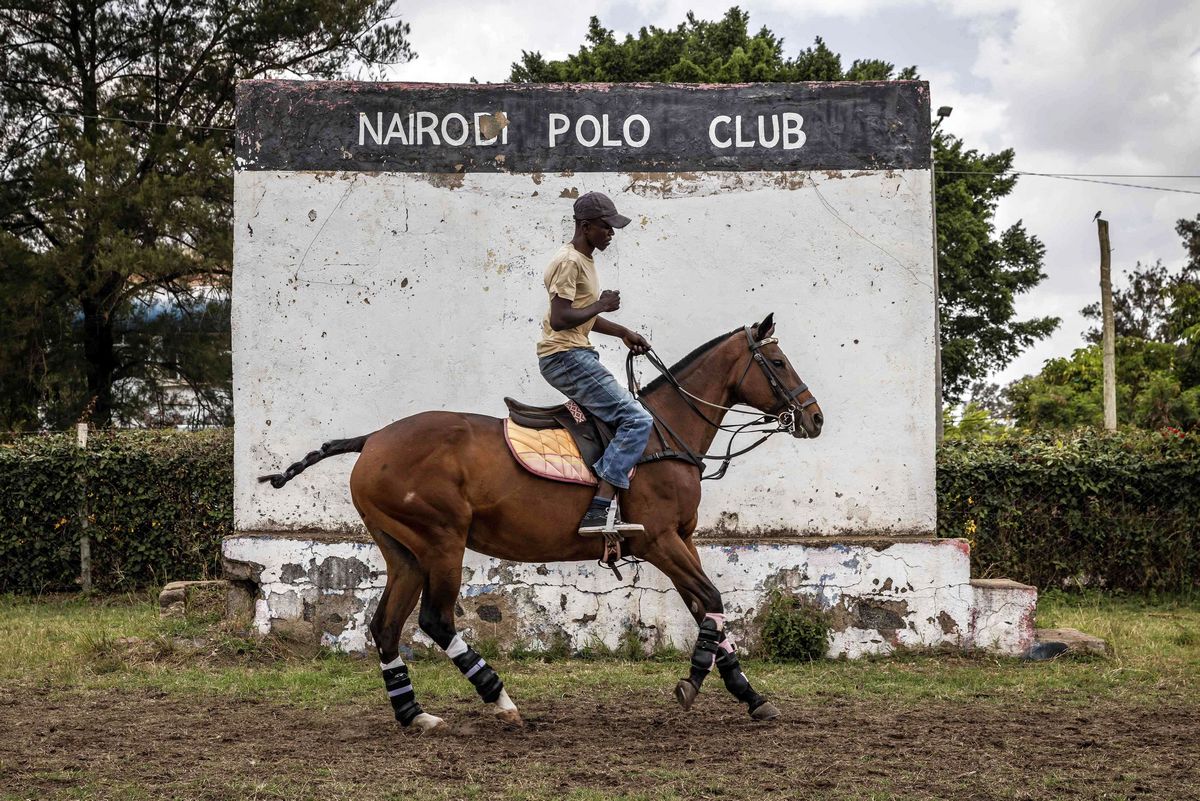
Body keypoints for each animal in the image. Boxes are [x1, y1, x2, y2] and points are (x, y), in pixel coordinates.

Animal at [260, 311, 825, 733]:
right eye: (778, 361)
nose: (815, 417)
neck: (665, 433)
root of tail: (372, 439)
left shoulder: (681, 539)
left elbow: (707, 607)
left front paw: (749, 695)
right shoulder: (658, 540)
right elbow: (709, 599)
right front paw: (691, 684)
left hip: (404, 552)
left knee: (385, 626)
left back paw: (414, 714)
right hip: (441, 541)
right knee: (436, 620)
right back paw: (499, 698)